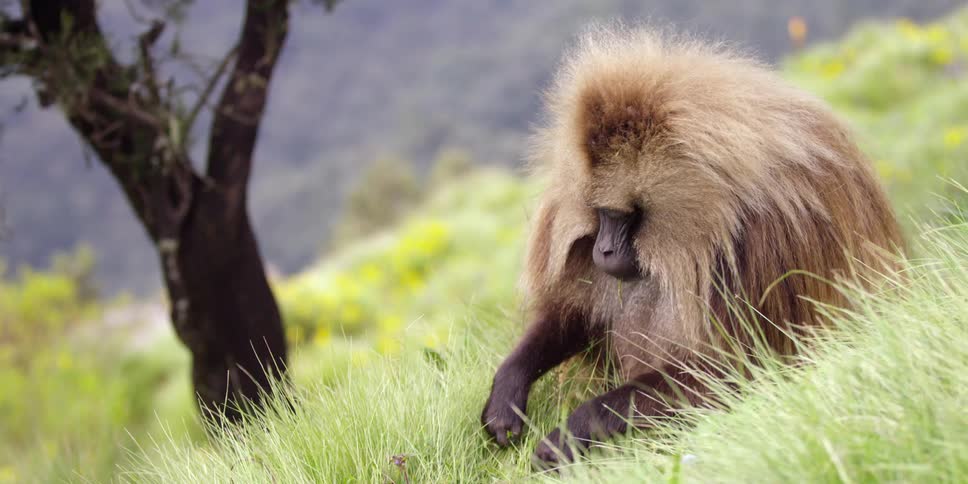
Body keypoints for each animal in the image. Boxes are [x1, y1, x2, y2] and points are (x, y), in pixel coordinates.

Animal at [480, 25, 903, 467]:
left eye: (623, 216)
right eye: (600, 213)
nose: (603, 251)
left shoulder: (757, 244)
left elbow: (732, 372)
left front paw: (573, 430)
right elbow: (578, 315)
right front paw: (507, 391)